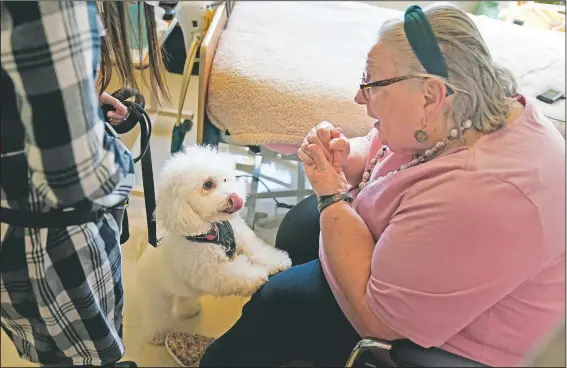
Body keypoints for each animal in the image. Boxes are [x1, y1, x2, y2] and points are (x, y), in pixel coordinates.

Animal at [135, 144, 290, 344]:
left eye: (225, 179)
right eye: (207, 185)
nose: (235, 196)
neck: (213, 228)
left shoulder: (243, 238)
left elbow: (258, 251)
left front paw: (277, 262)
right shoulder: (212, 271)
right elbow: (236, 273)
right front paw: (257, 276)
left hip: (181, 291)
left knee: (184, 298)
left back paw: (190, 310)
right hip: (155, 296)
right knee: (156, 315)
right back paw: (157, 335)